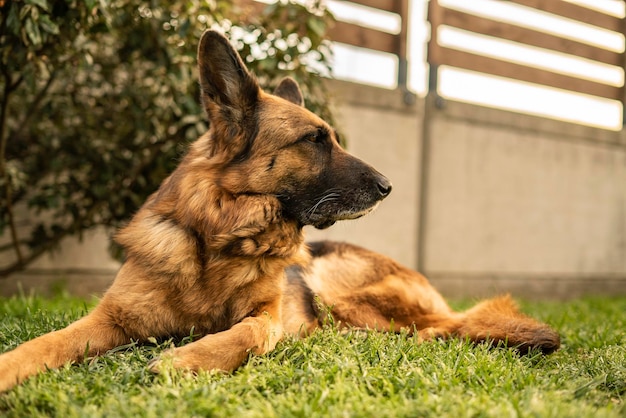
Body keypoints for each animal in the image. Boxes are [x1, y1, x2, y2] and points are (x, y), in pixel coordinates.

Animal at [0, 30, 560, 392]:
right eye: (315, 140)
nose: (388, 187)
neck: (220, 240)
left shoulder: (267, 315)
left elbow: (249, 332)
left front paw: (186, 361)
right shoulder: (110, 317)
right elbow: (46, 341)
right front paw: (11, 367)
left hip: (334, 288)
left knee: (431, 330)